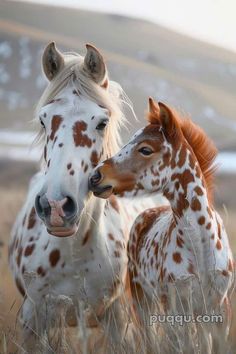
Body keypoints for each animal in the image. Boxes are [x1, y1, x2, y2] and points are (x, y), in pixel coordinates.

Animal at [9, 42, 151, 354]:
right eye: (43, 120)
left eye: (102, 122)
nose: (55, 206)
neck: (73, 253)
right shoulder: (32, 318)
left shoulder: (120, 322)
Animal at [90, 98, 234, 352]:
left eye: (146, 149)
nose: (96, 177)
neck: (201, 247)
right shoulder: (175, 309)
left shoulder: (219, 311)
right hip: (144, 304)